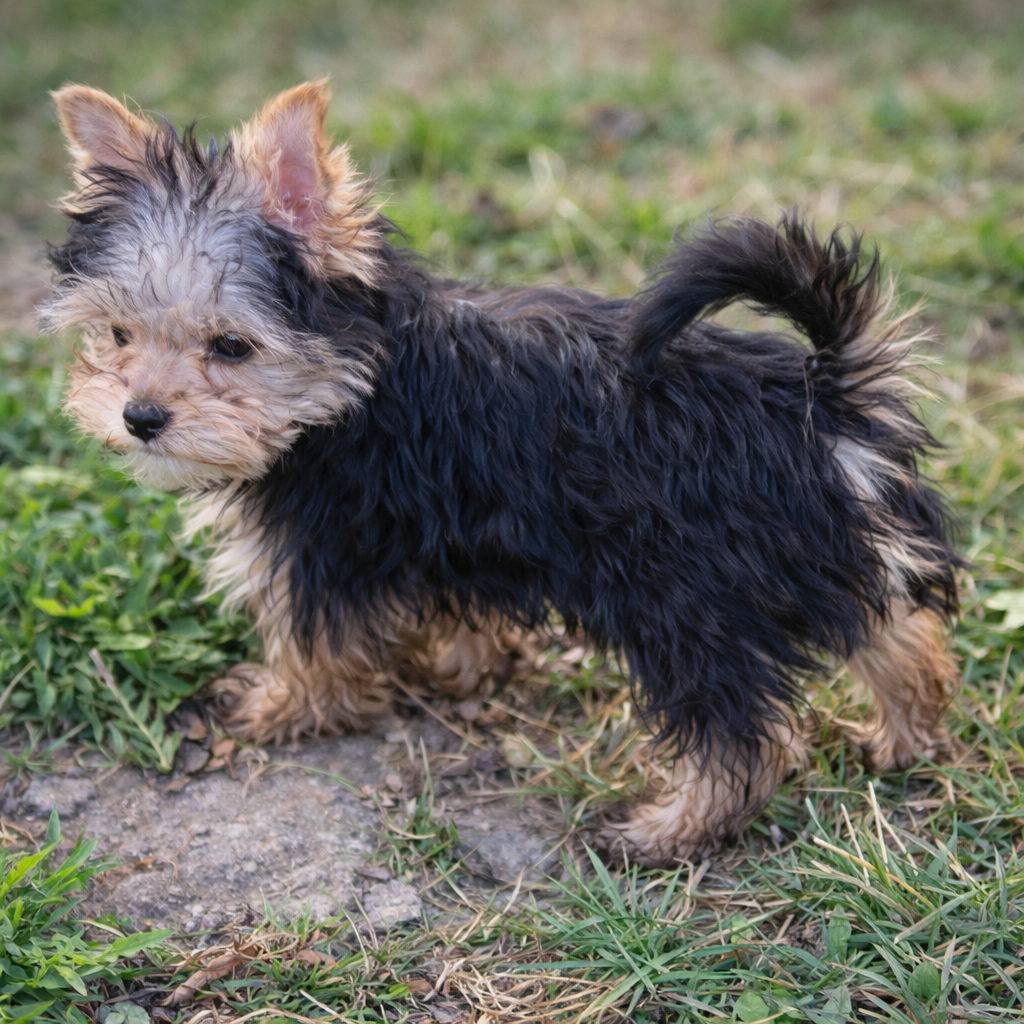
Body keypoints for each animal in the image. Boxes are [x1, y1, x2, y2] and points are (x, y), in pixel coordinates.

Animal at [43, 81, 960, 866]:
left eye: (231, 346)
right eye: (119, 335)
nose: (141, 416)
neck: (357, 375)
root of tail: (823, 398)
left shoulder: (324, 542)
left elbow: (311, 644)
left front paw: (275, 708)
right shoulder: (451, 532)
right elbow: (457, 614)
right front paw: (461, 668)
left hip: (688, 594)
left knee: (740, 730)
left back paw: (671, 830)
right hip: (817, 552)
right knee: (892, 632)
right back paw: (904, 737)